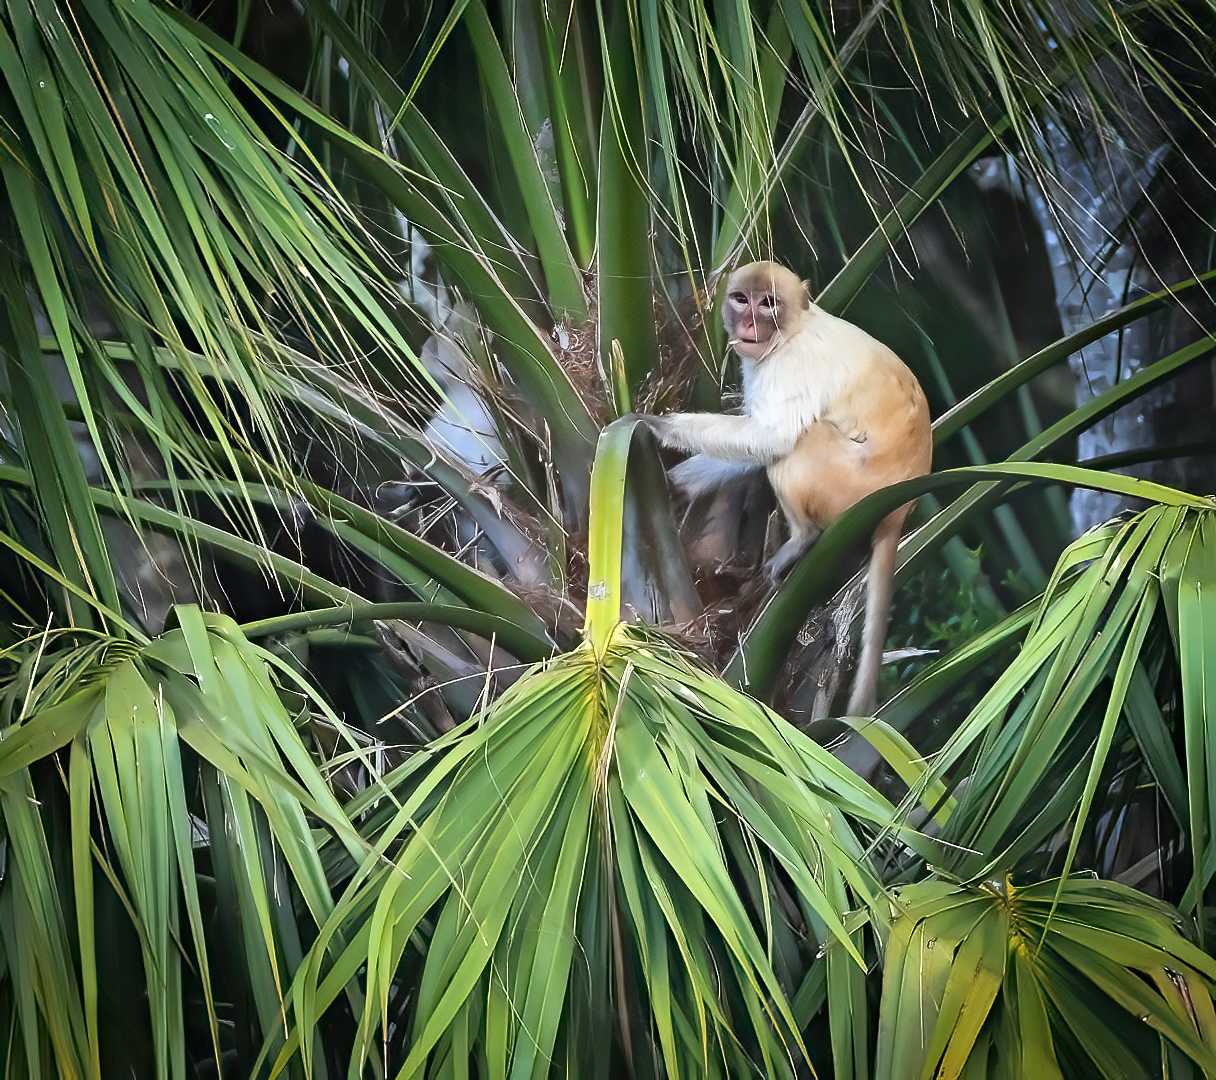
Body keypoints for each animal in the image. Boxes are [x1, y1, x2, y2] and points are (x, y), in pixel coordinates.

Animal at [645, 260, 932, 717]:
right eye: (741, 299)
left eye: (768, 304)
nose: (748, 322)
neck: (792, 331)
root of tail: (896, 511)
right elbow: (756, 445)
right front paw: (676, 483)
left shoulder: (787, 367)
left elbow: (774, 437)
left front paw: (656, 426)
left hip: (847, 487)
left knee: (799, 443)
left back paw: (803, 539)